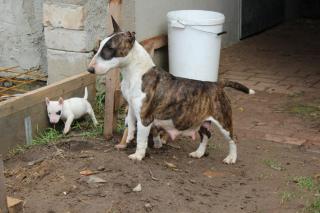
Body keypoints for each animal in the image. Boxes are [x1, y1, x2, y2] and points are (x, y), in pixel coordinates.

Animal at [87, 17, 255, 163]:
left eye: (110, 48)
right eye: (99, 46)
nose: (89, 69)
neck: (134, 73)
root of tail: (217, 84)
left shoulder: (145, 118)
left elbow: (141, 139)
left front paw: (138, 155)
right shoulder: (132, 106)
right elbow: (131, 121)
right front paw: (128, 138)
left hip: (223, 121)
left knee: (233, 138)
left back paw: (231, 158)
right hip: (200, 119)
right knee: (206, 135)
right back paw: (199, 153)